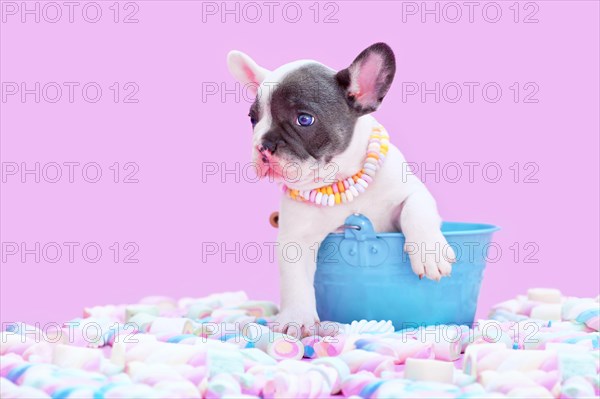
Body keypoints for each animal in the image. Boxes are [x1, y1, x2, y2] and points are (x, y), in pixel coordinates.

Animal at [226, 43, 454, 338]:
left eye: (304, 119)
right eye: (253, 119)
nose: (262, 145)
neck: (341, 180)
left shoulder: (410, 190)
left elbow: (416, 211)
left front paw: (429, 253)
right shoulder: (296, 238)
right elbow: (294, 278)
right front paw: (297, 318)